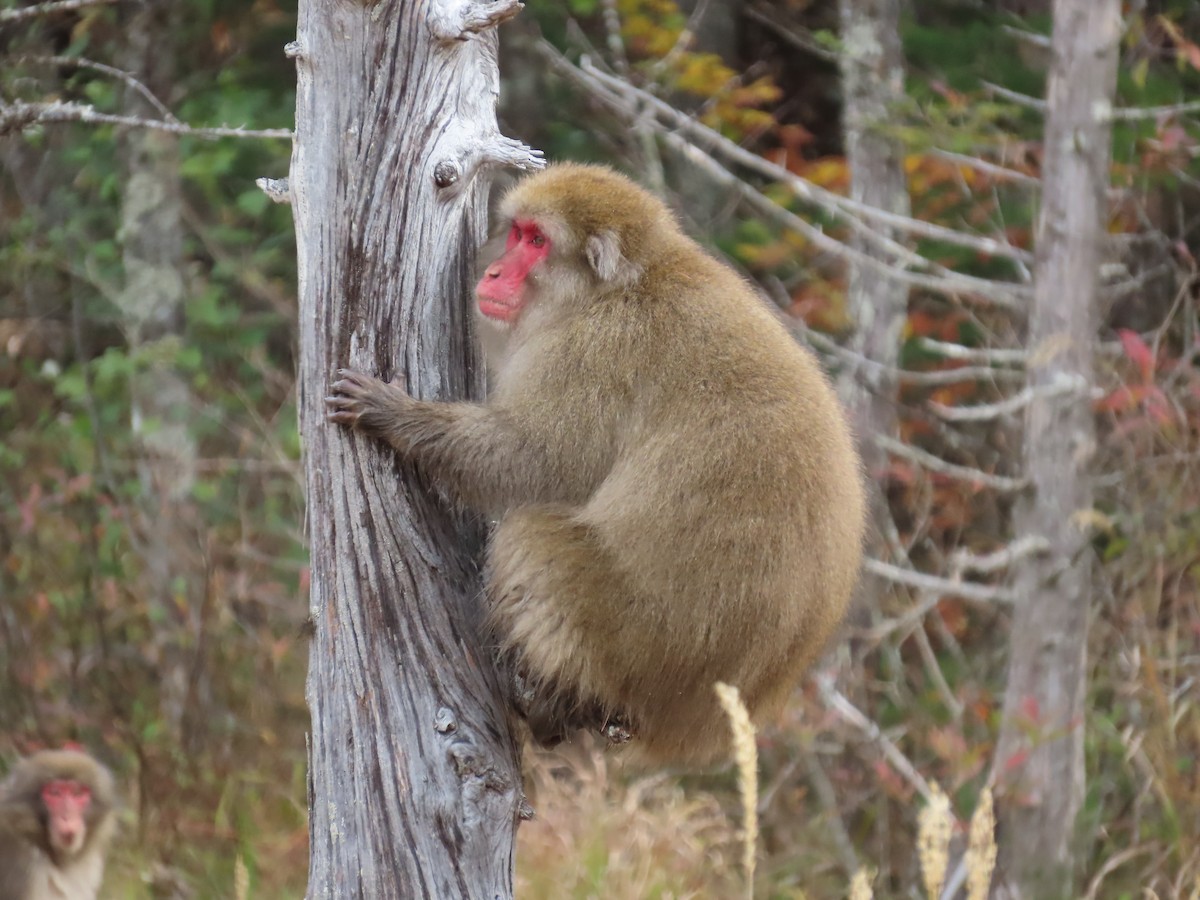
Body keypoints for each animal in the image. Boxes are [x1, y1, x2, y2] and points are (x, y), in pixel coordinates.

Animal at [327, 162, 866, 767]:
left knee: (535, 534)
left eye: (537, 242)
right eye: (517, 233)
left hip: (628, 637)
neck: (615, 288)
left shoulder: (590, 354)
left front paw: (393, 415)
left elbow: (532, 460)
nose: (492, 272)